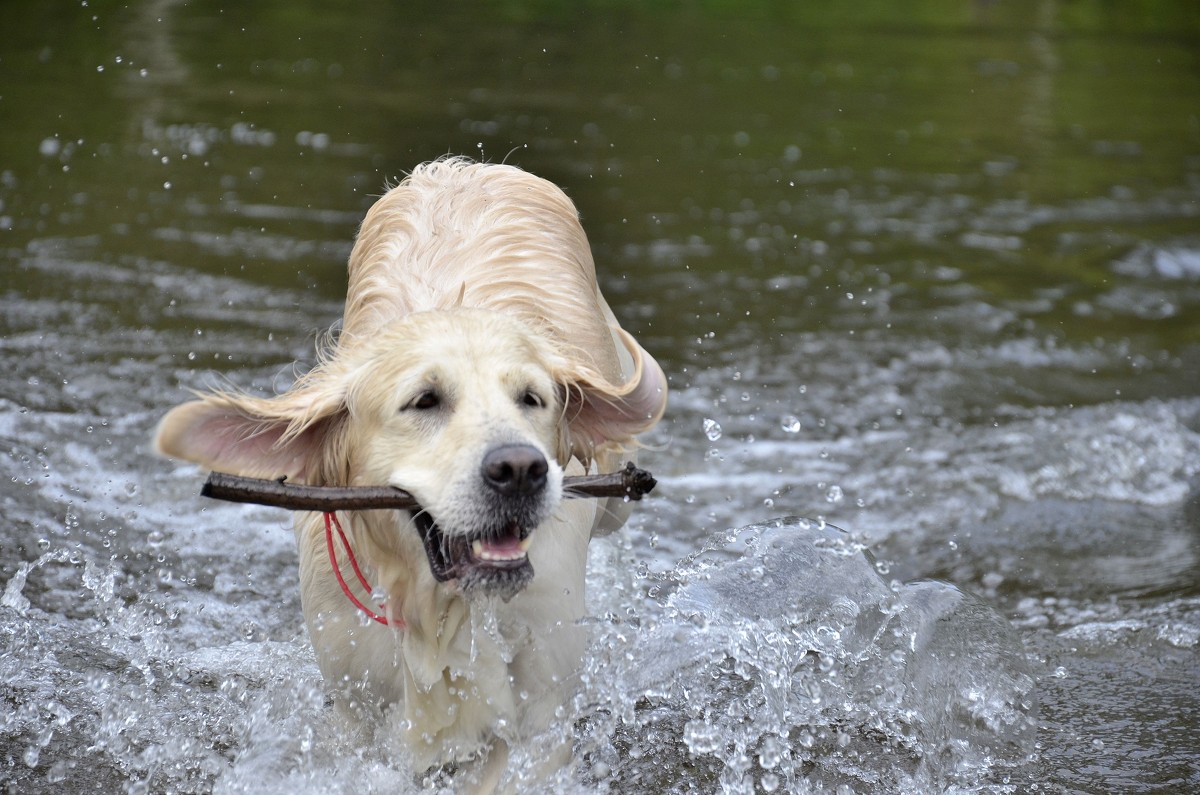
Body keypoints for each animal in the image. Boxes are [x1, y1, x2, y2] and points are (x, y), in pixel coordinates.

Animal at [152, 157, 667, 792]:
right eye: (424, 401)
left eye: (533, 399)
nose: (521, 470)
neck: (440, 609)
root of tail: (471, 167)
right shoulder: (353, 699)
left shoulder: (543, 705)